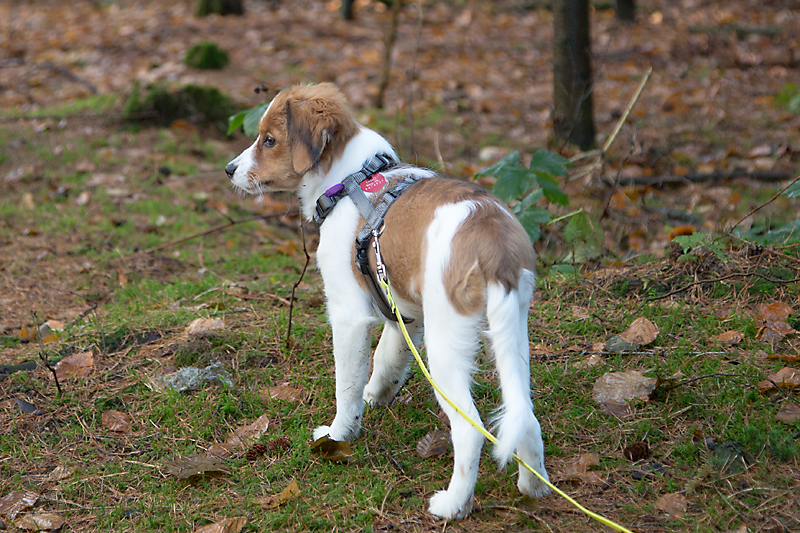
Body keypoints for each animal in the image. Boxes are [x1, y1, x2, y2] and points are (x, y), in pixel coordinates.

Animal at [225, 84, 552, 520]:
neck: (352, 180)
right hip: (513, 330)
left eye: (269, 140)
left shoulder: (348, 316)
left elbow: (346, 385)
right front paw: (377, 394)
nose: (229, 169)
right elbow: (386, 358)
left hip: (448, 344)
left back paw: (453, 504)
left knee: (470, 429)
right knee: (525, 416)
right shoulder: (405, 313)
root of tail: (491, 239)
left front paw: (339, 434)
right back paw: (534, 488)